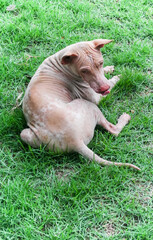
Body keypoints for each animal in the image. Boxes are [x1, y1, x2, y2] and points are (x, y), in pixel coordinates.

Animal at [20, 39, 140, 171]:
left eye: (100, 63)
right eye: (84, 71)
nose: (104, 89)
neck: (61, 63)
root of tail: (75, 142)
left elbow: (104, 75)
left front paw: (108, 69)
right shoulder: (95, 97)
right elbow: (111, 81)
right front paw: (120, 76)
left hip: (25, 134)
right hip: (87, 105)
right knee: (113, 130)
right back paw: (125, 117)